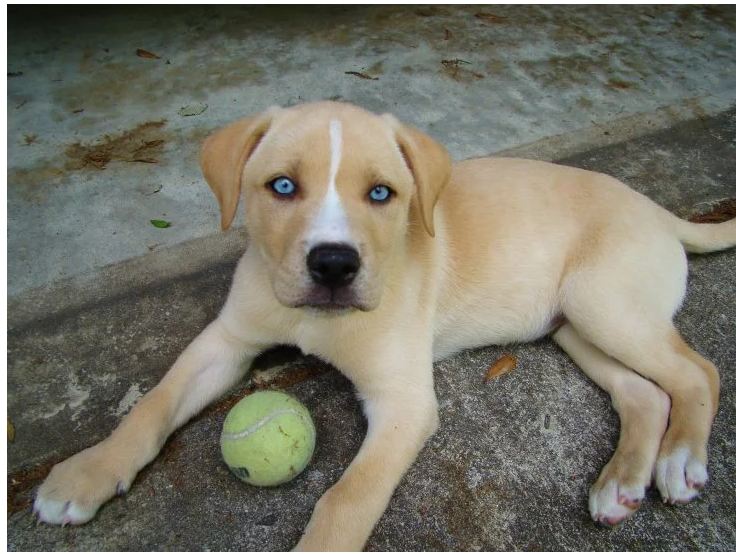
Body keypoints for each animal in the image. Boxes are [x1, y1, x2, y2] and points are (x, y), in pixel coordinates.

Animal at [34, 100, 736, 548]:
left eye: (381, 194)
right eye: (281, 186)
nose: (334, 264)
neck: (319, 320)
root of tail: (658, 210)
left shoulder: (403, 403)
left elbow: (346, 500)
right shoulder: (227, 342)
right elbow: (153, 404)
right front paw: (87, 472)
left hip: (601, 302)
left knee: (698, 371)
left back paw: (679, 461)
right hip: (572, 322)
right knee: (645, 392)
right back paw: (620, 485)